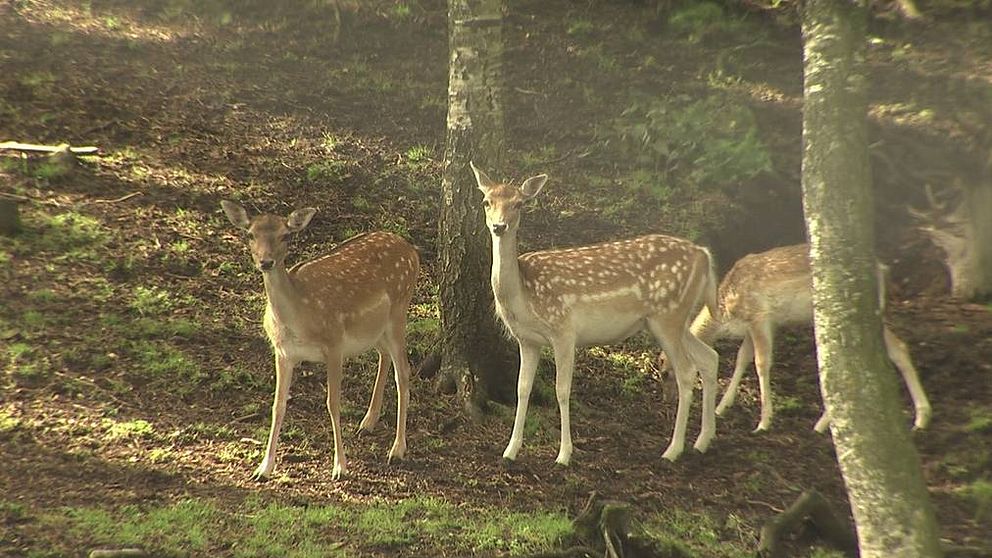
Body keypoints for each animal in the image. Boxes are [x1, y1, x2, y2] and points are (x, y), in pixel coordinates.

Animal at [221, 201, 418, 482]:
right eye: (250, 234)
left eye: (285, 235)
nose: (266, 262)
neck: (298, 318)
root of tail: (411, 249)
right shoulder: (283, 353)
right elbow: (278, 405)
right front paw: (263, 468)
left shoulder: (334, 343)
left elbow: (333, 404)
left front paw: (340, 467)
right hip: (374, 329)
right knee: (385, 355)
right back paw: (368, 421)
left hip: (398, 312)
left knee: (404, 372)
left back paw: (397, 449)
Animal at [472, 162, 720, 464]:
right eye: (487, 201)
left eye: (519, 203)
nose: (499, 226)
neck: (524, 296)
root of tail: (704, 255)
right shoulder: (528, 340)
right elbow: (522, 389)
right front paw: (510, 450)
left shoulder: (563, 330)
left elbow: (562, 390)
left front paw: (564, 454)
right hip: (672, 319)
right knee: (709, 357)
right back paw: (703, 441)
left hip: (668, 315)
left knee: (686, 371)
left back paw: (673, 450)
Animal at [680, 246, 928, 438]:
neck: (725, 310)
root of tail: (882, 269)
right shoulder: (755, 326)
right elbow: (742, 358)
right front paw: (723, 406)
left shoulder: (760, 317)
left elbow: (761, 363)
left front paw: (763, 423)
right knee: (898, 348)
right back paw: (922, 418)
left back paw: (820, 425)